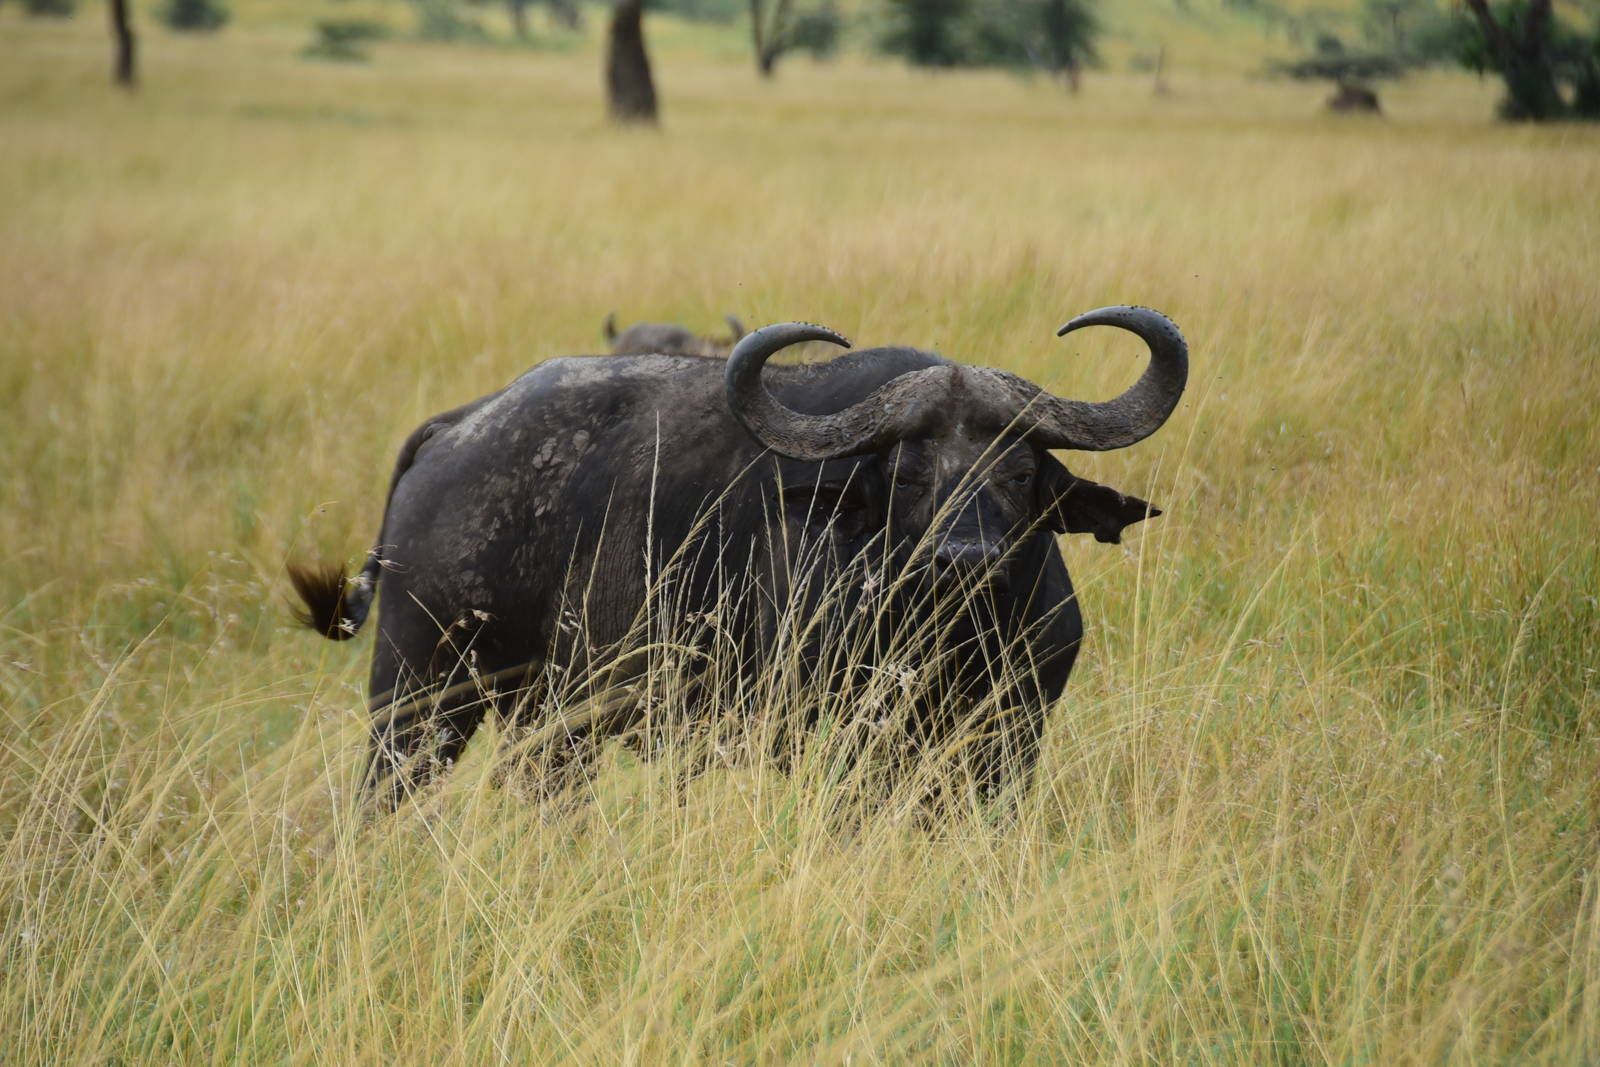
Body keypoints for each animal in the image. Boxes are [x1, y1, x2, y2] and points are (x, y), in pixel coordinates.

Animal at [290, 306, 1188, 803]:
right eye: (907, 471)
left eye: (1021, 469)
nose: (964, 556)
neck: (954, 637)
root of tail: (460, 426)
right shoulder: (841, 742)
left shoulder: (1008, 741)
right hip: (419, 699)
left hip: (549, 721)